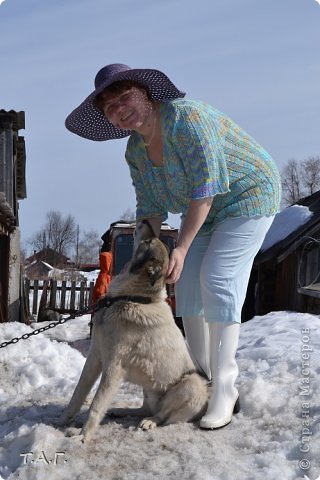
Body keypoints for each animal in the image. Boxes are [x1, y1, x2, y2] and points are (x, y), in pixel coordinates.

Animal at [60, 225, 208, 442]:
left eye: (148, 242)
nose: (145, 221)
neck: (131, 298)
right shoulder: (95, 357)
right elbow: (78, 392)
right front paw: (63, 419)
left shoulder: (113, 366)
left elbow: (96, 404)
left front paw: (83, 436)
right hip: (149, 389)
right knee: (145, 408)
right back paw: (120, 410)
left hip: (191, 384)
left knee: (162, 415)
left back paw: (150, 422)